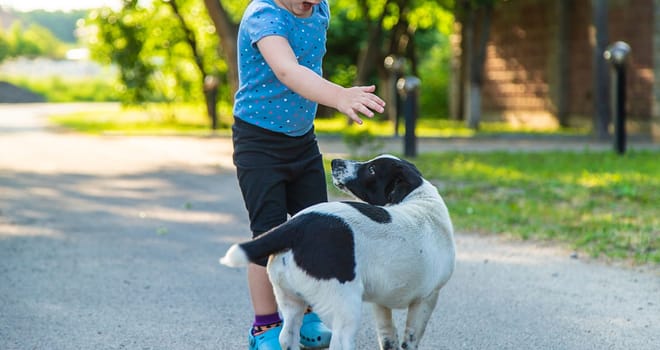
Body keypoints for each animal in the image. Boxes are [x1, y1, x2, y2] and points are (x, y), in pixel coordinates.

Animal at [220, 154, 454, 348]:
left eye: (372, 170)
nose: (334, 162)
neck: (419, 198)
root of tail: (296, 226)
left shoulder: (382, 304)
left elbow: (388, 338)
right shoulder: (426, 299)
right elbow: (409, 340)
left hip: (291, 302)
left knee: (286, 337)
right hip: (346, 308)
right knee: (339, 342)